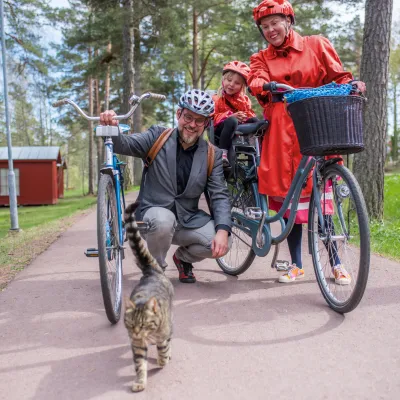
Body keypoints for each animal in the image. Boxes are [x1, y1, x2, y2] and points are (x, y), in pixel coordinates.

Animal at [123, 202, 173, 392]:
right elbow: (139, 364)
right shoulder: (137, 345)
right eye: (131, 325)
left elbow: (164, 349)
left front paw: (162, 360)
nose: (137, 333)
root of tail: (150, 271)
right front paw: (140, 381)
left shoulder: (163, 334)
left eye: (144, 324)